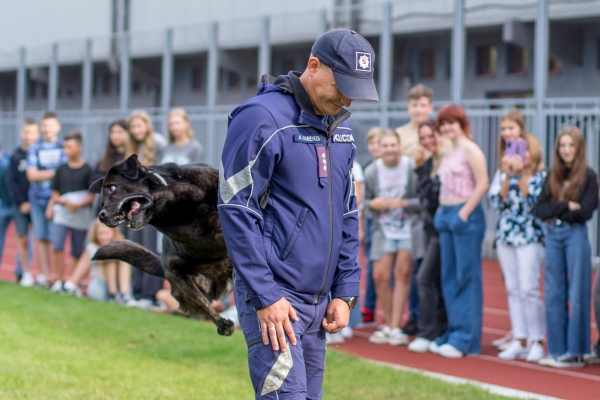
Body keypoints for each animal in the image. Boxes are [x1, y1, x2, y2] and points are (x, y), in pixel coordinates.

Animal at [89, 155, 234, 336]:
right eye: (101, 202)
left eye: (112, 188)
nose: (101, 216)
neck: (175, 199)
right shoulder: (210, 232)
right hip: (178, 276)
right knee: (204, 306)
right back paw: (223, 324)